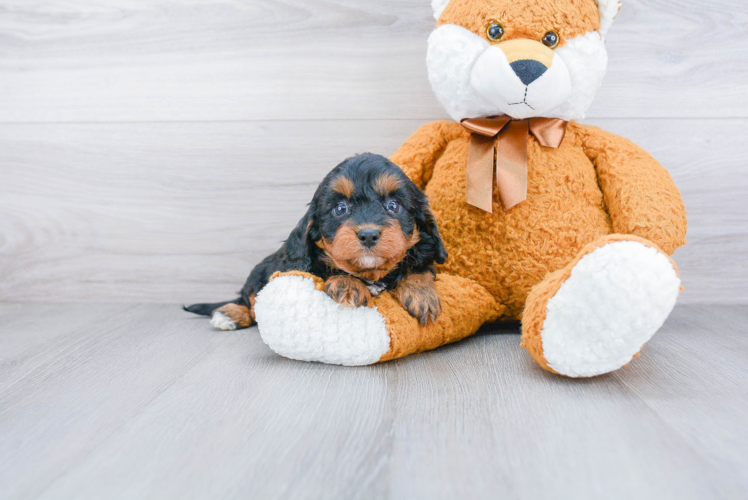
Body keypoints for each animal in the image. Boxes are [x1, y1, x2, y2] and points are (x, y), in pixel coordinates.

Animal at [184, 154, 448, 330]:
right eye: (340, 209)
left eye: (394, 205)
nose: (368, 234)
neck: (371, 274)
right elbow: (331, 268)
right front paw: (347, 284)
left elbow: (419, 267)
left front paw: (421, 293)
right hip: (259, 272)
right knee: (250, 302)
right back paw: (231, 314)